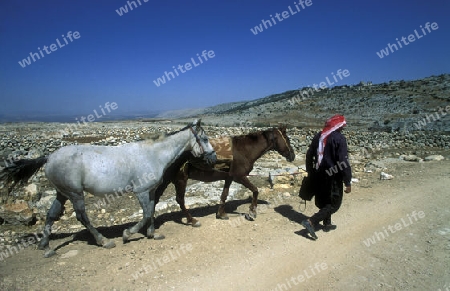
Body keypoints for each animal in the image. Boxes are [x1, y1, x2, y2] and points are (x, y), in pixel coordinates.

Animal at [0, 120, 216, 258]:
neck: (153, 155)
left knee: (51, 215)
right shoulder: (141, 192)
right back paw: (104, 241)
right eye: (205, 139)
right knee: (82, 217)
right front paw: (128, 234)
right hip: (75, 193)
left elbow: (151, 212)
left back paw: (45, 246)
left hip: (62, 193)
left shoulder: (151, 192)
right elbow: (146, 214)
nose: (213, 158)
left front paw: (153, 234)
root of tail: (49, 157)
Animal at [155, 127, 296, 226]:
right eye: (288, 139)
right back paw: (192, 220)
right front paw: (252, 212)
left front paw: (221, 214)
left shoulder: (229, 177)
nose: (292, 156)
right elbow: (255, 190)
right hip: (180, 180)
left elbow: (224, 195)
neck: (244, 150)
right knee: (179, 200)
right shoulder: (240, 177)